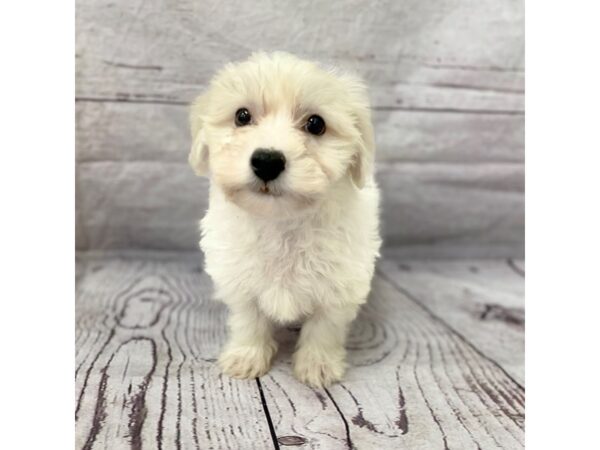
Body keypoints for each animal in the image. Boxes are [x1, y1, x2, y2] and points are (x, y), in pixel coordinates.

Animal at [190, 50, 382, 386]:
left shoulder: (340, 286)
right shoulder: (240, 280)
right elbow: (249, 320)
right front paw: (246, 357)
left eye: (316, 124)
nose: (267, 161)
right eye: (242, 116)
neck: (282, 223)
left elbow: (324, 326)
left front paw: (317, 365)